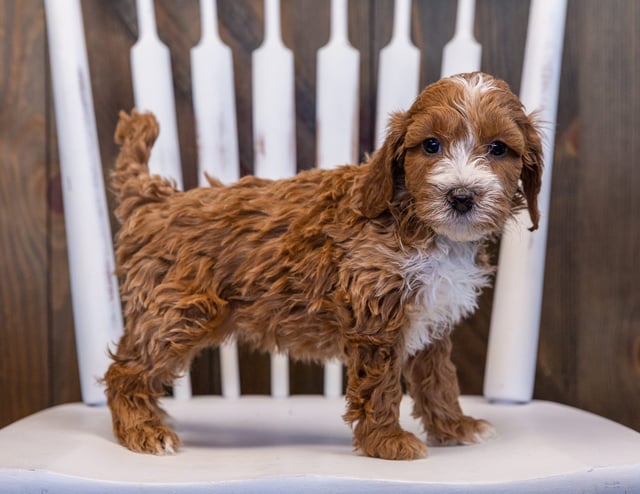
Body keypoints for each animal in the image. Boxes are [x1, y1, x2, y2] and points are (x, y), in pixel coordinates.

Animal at [104, 72, 540, 460]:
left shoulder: (433, 318)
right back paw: (143, 430)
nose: (461, 196)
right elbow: (381, 385)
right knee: (126, 370)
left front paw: (455, 427)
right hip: (179, 310)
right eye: (431, 145)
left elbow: (439, 379)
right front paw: (387, 443)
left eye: (498, 149)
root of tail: (158, 200)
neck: (416, 222)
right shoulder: (376, 319)